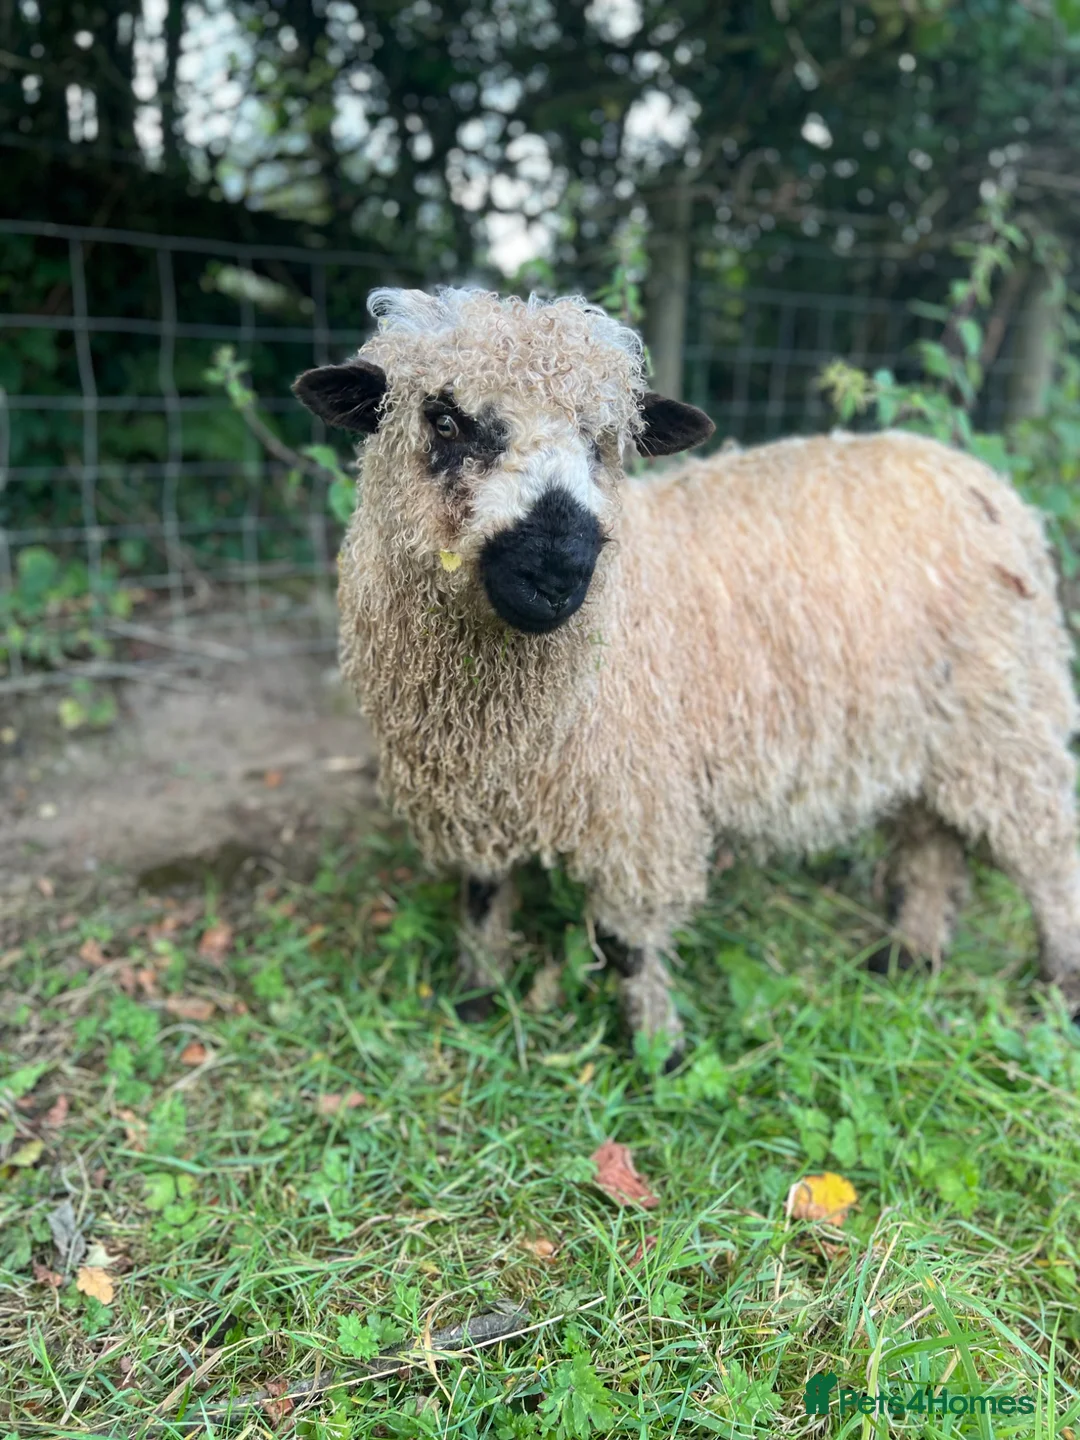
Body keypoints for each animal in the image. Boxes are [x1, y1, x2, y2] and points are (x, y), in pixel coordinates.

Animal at [292, 285, 1080, 1064]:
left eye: (604, 441)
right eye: (447, 420)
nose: (558, 573)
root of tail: (981, 480)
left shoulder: (641, 805)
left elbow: (629, 941)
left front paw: (658, 1051)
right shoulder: (472, 797)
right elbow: (482, 900)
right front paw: (476, 1002)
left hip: (1007, 719)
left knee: (1048, 857)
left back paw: (1058, 991)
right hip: (933, 732)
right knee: (931, 846)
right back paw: (909, 959)